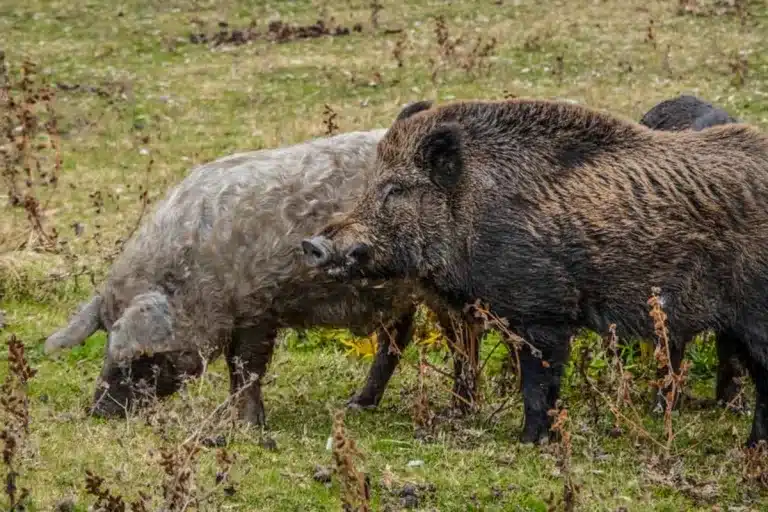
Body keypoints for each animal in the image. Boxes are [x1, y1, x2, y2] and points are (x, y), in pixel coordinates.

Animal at [44, 128, 482, 424]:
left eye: (141, 357)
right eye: (104, 342)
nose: (98, 411)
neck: (197, 278)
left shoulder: (258, 308)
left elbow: (246, 367)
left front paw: (248, 426)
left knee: (463, 338)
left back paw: (458, 412)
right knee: (399, 336)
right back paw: (357, 405)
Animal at [304, 98, 768, 446]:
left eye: (395, 189)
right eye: (369, 184)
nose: (313, 245)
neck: (472, 210)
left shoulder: (543, 310)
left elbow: (538, 381)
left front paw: (529, 441)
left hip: (753, 315)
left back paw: (751, 446)